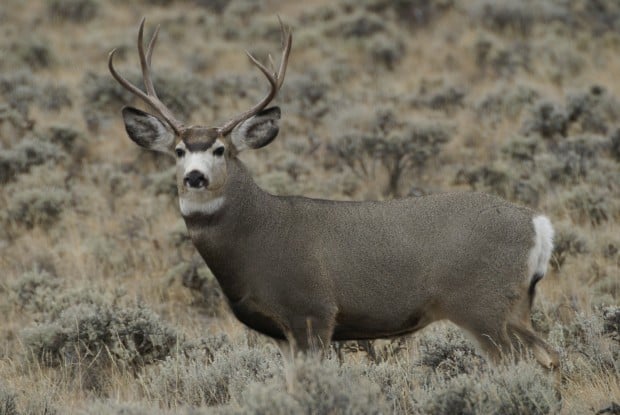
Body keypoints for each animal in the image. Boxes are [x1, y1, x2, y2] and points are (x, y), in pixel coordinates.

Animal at [109, 17, 560, 370]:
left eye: (220, 149)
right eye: (179, 151)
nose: (195, 178)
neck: (256, 234)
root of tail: (537, 223)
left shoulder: (313, 312)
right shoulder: (283, 333)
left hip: (482, 304)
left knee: (518, 363)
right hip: (516, 306)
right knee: (549, 355)